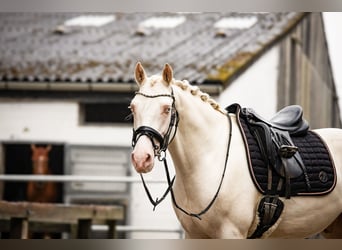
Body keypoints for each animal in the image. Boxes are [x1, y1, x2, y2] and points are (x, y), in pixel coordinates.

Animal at [130, 62, 342, 238]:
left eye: (167, 108)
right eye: (132, 108)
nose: (141, 158)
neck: (209, 157)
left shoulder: (231, 233)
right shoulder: (194, 235)